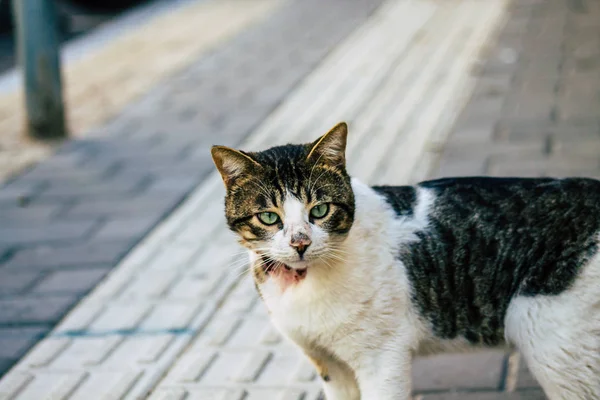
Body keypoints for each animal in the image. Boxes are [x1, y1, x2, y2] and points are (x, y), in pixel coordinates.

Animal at [211, 122, 600, 400]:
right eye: (268, 217)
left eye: (319, 210)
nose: (300, 243)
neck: (302, 282)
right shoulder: (330, 365)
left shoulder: (381, 359)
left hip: (553, 344)